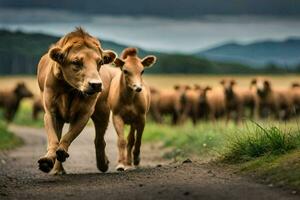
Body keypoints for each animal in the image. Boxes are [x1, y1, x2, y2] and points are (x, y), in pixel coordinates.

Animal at [36, 27, 117, 174]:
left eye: (100, 62)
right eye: (76, 62)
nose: (96, 84)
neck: (70, 90)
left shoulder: (84, 113)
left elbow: (68, 136)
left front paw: (62, 151)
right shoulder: (51, 112)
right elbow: (54, 139)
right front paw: (47, 161)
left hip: (102, 111)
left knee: (99, 140)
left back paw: (102, 164)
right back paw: (58, 170)